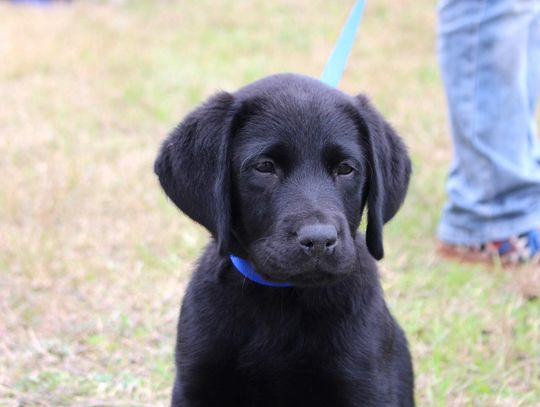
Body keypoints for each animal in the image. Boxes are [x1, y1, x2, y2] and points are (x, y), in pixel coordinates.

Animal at [154, 74, 416, 407]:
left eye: (346, 168)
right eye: (265, 166)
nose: (319, 240)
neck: (280, 299)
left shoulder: (364, 385)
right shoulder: (195, 382)